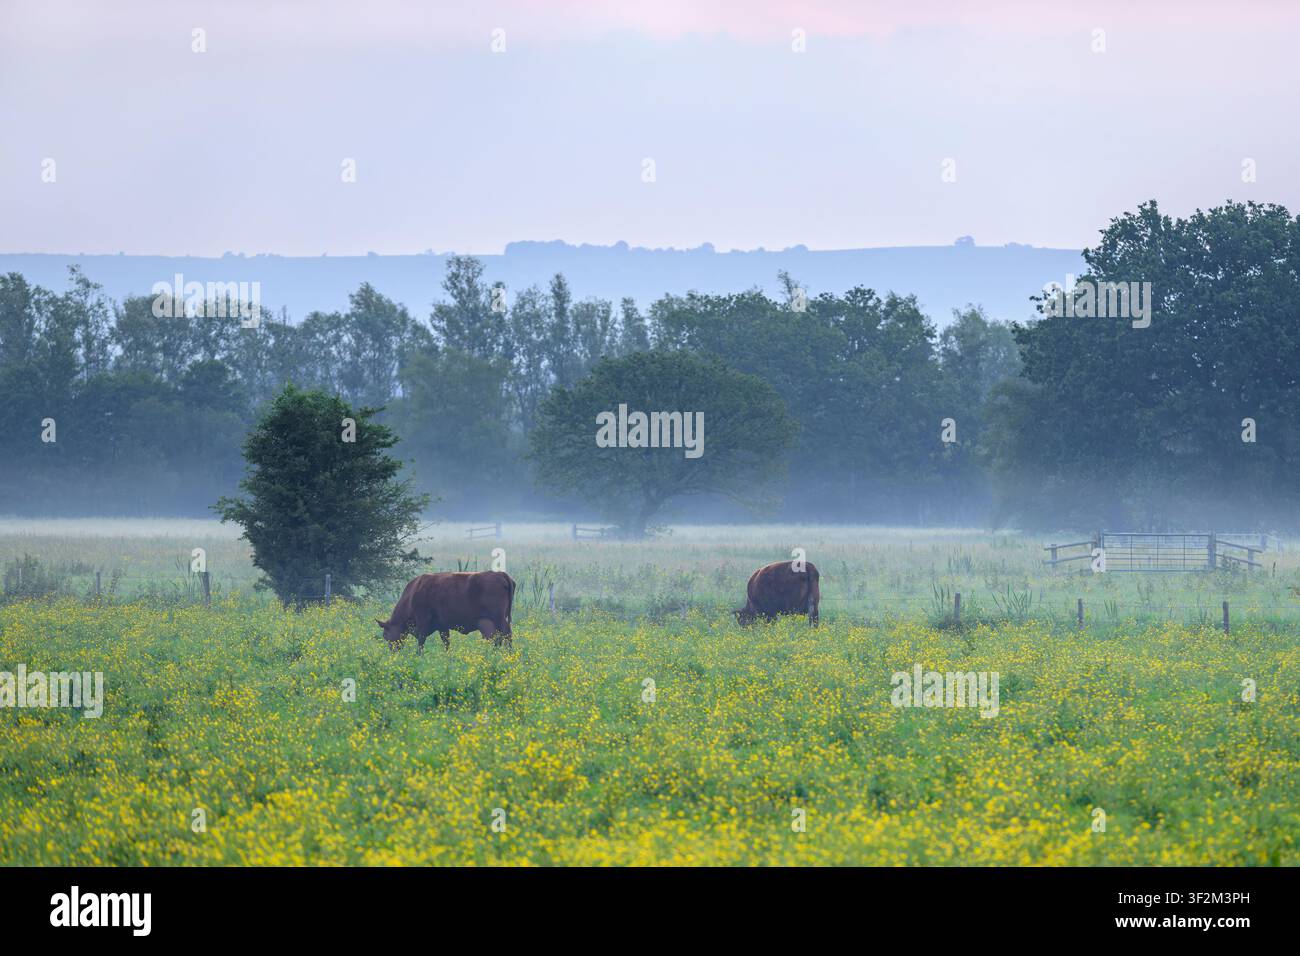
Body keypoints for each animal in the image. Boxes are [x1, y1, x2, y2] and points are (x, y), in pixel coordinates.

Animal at [376, 571, 516, 651]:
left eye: (385, 635)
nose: (393, 651)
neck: (412, 595)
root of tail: (500, 574)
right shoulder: (442, 626)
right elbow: (446, 643)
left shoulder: (423, 622)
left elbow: (421, 641)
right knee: (498, 638)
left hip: (498, 619)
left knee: (506, 634)